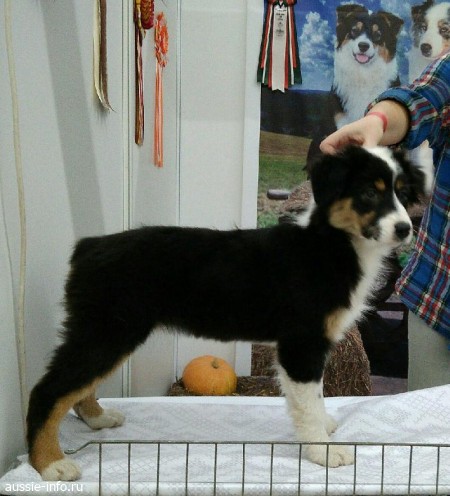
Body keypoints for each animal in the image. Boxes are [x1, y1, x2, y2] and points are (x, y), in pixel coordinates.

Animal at [26, 146, 426, 481]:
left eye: (403, 194)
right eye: (369, 193)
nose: (405, 229)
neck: (334, 244)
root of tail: (88, 246)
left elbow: (315, 396)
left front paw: (324, 428)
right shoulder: (302, 342)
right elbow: (308, 400)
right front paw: (323, 452)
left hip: (105, 332)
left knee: (76, 387)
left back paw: (97, 419)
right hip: (108, 331)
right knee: (48, 390)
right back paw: (50, 464)